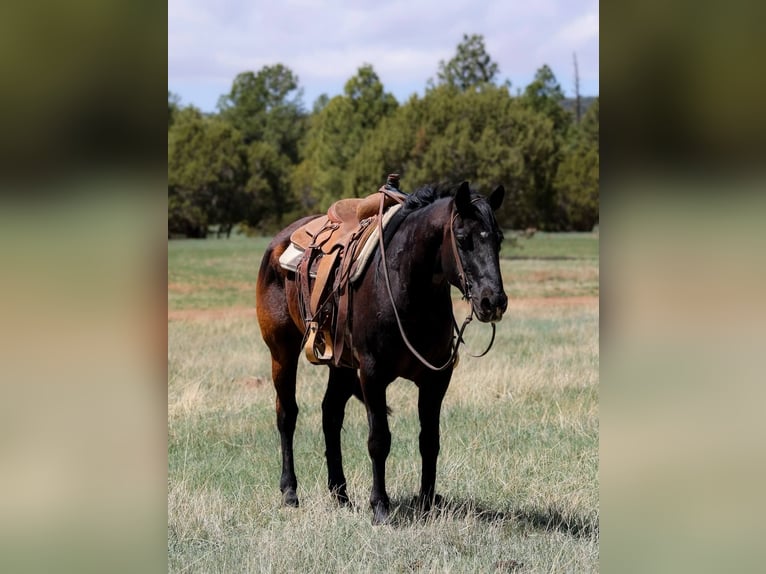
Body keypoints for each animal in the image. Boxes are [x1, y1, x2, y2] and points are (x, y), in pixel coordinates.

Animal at [255, 181, 508, 524]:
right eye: (462, 238)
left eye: (498, 239)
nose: (492, 301)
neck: (410, 290)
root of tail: (278, 243)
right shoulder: (372, 375)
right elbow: (379, 440)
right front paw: (380, 507)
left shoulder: (435, 379)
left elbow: (429, 440)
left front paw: (427, 502)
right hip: (282, 351)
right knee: (287, 415)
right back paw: (290, 491)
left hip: (341, 366)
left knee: (330, 415)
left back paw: (341, 494)